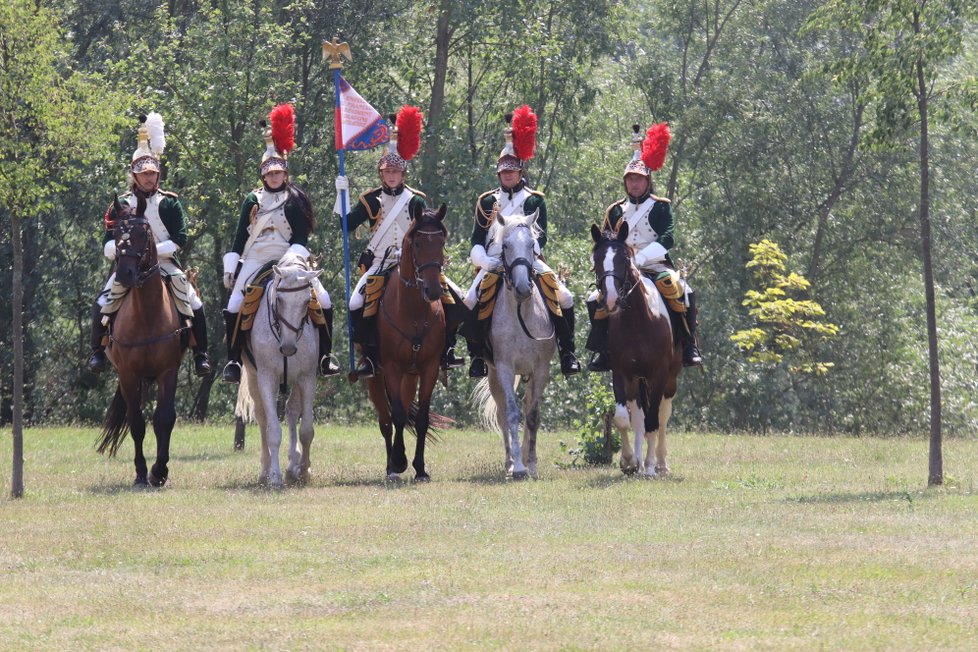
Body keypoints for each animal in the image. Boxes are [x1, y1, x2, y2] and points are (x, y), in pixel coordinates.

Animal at [98, 196, 190, 486]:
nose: (125, 274)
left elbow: (164, 419)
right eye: (117, 233)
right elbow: (136, 422)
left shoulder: (168, 371)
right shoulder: (128, 373)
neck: (147, 314)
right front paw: (141, 472)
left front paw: (159, 471)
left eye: (143, 232)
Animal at [234, 252, 318, 486]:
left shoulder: (306, 377)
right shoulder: (266, 377)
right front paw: (275, 477)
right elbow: (272, 430)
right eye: (279, 300)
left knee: (291, 411)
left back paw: (293, 464)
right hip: (254, 378)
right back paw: (266, 470)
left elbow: (306, 429)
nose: (288, 348)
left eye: (307, 300)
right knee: (263, 419)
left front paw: (304, 469)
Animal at [364, 201, 448, 482]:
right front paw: (399, 461)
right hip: (375, 378)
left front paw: (420, 467)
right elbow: (398, 416)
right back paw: (391, 465)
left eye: (442, 242)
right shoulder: (391, 367)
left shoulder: (429, 368)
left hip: (409, 378)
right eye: (418, 243)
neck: (413, 313)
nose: (433, 290)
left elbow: (421, 418)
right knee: (386, 421)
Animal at [472, 211, 556, 482]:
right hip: (493, 375)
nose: (522, 288)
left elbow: (532, 415)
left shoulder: (541, 369)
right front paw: (518, 466)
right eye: (506, 245)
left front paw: (531, 465)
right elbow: (511, 414)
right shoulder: (505, 368)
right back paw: (509, 462)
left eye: (532, 245)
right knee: (501, 414)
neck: (521, 313)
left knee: (528, 406)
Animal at [592, 222, 684, 476]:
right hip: (637, 381)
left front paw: (651, 467)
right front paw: (629, 461)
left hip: (670, 379)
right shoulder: (621, 373)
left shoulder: (659, 374)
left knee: (662, 416)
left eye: (624, 258)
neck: (637, 322)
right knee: (639, 417)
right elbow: (624, 419)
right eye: (597, 259)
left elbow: (654, 420)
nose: (611, 300)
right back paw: (641, 462)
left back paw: (659, 463)